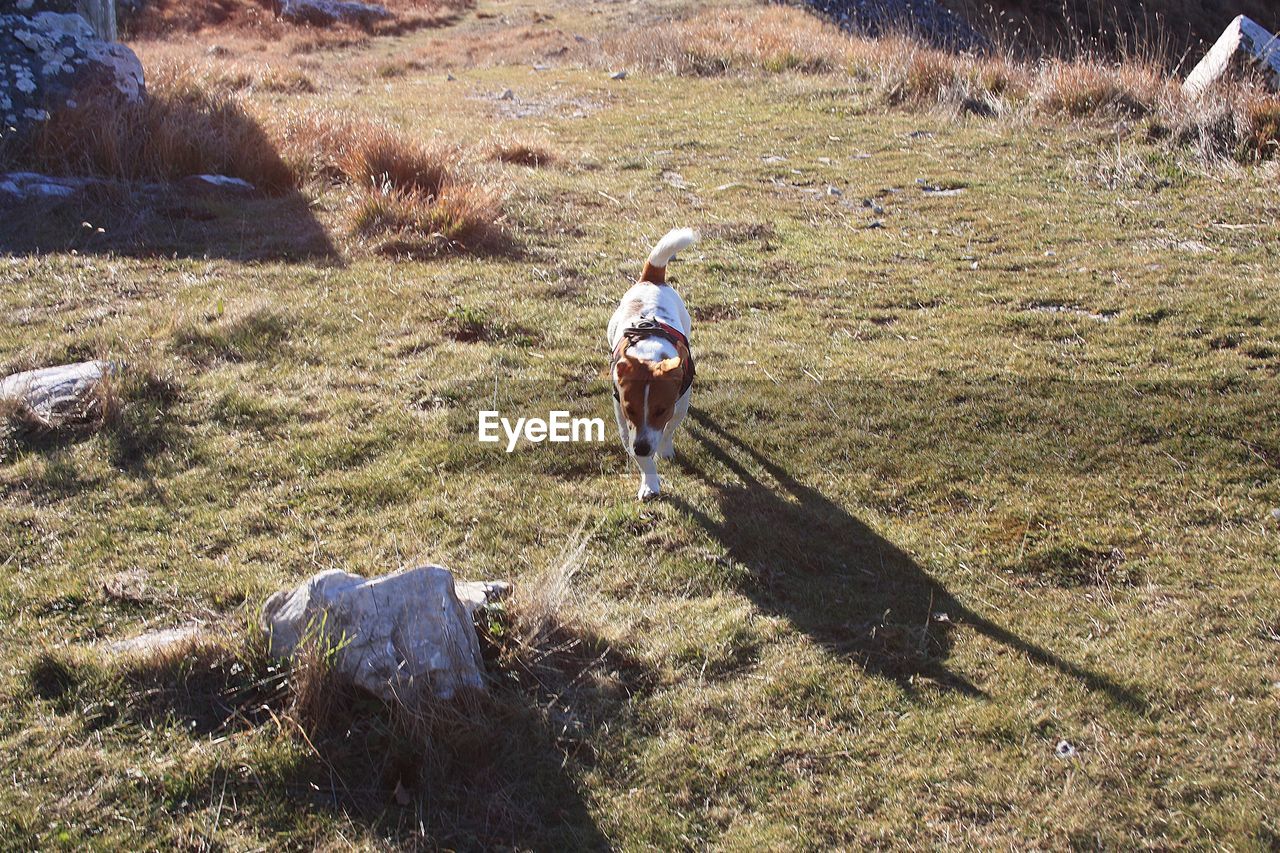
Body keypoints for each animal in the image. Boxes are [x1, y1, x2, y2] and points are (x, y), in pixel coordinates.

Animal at [609, 229, 701, 499]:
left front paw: (665, 450)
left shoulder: (679, 405)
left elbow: (669, 429)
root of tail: (651, 279)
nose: (641, 447)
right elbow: (639, 456)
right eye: (630, 409)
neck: (649, 352)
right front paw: (649, 484)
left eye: (660, 410)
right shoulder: (623, 420)